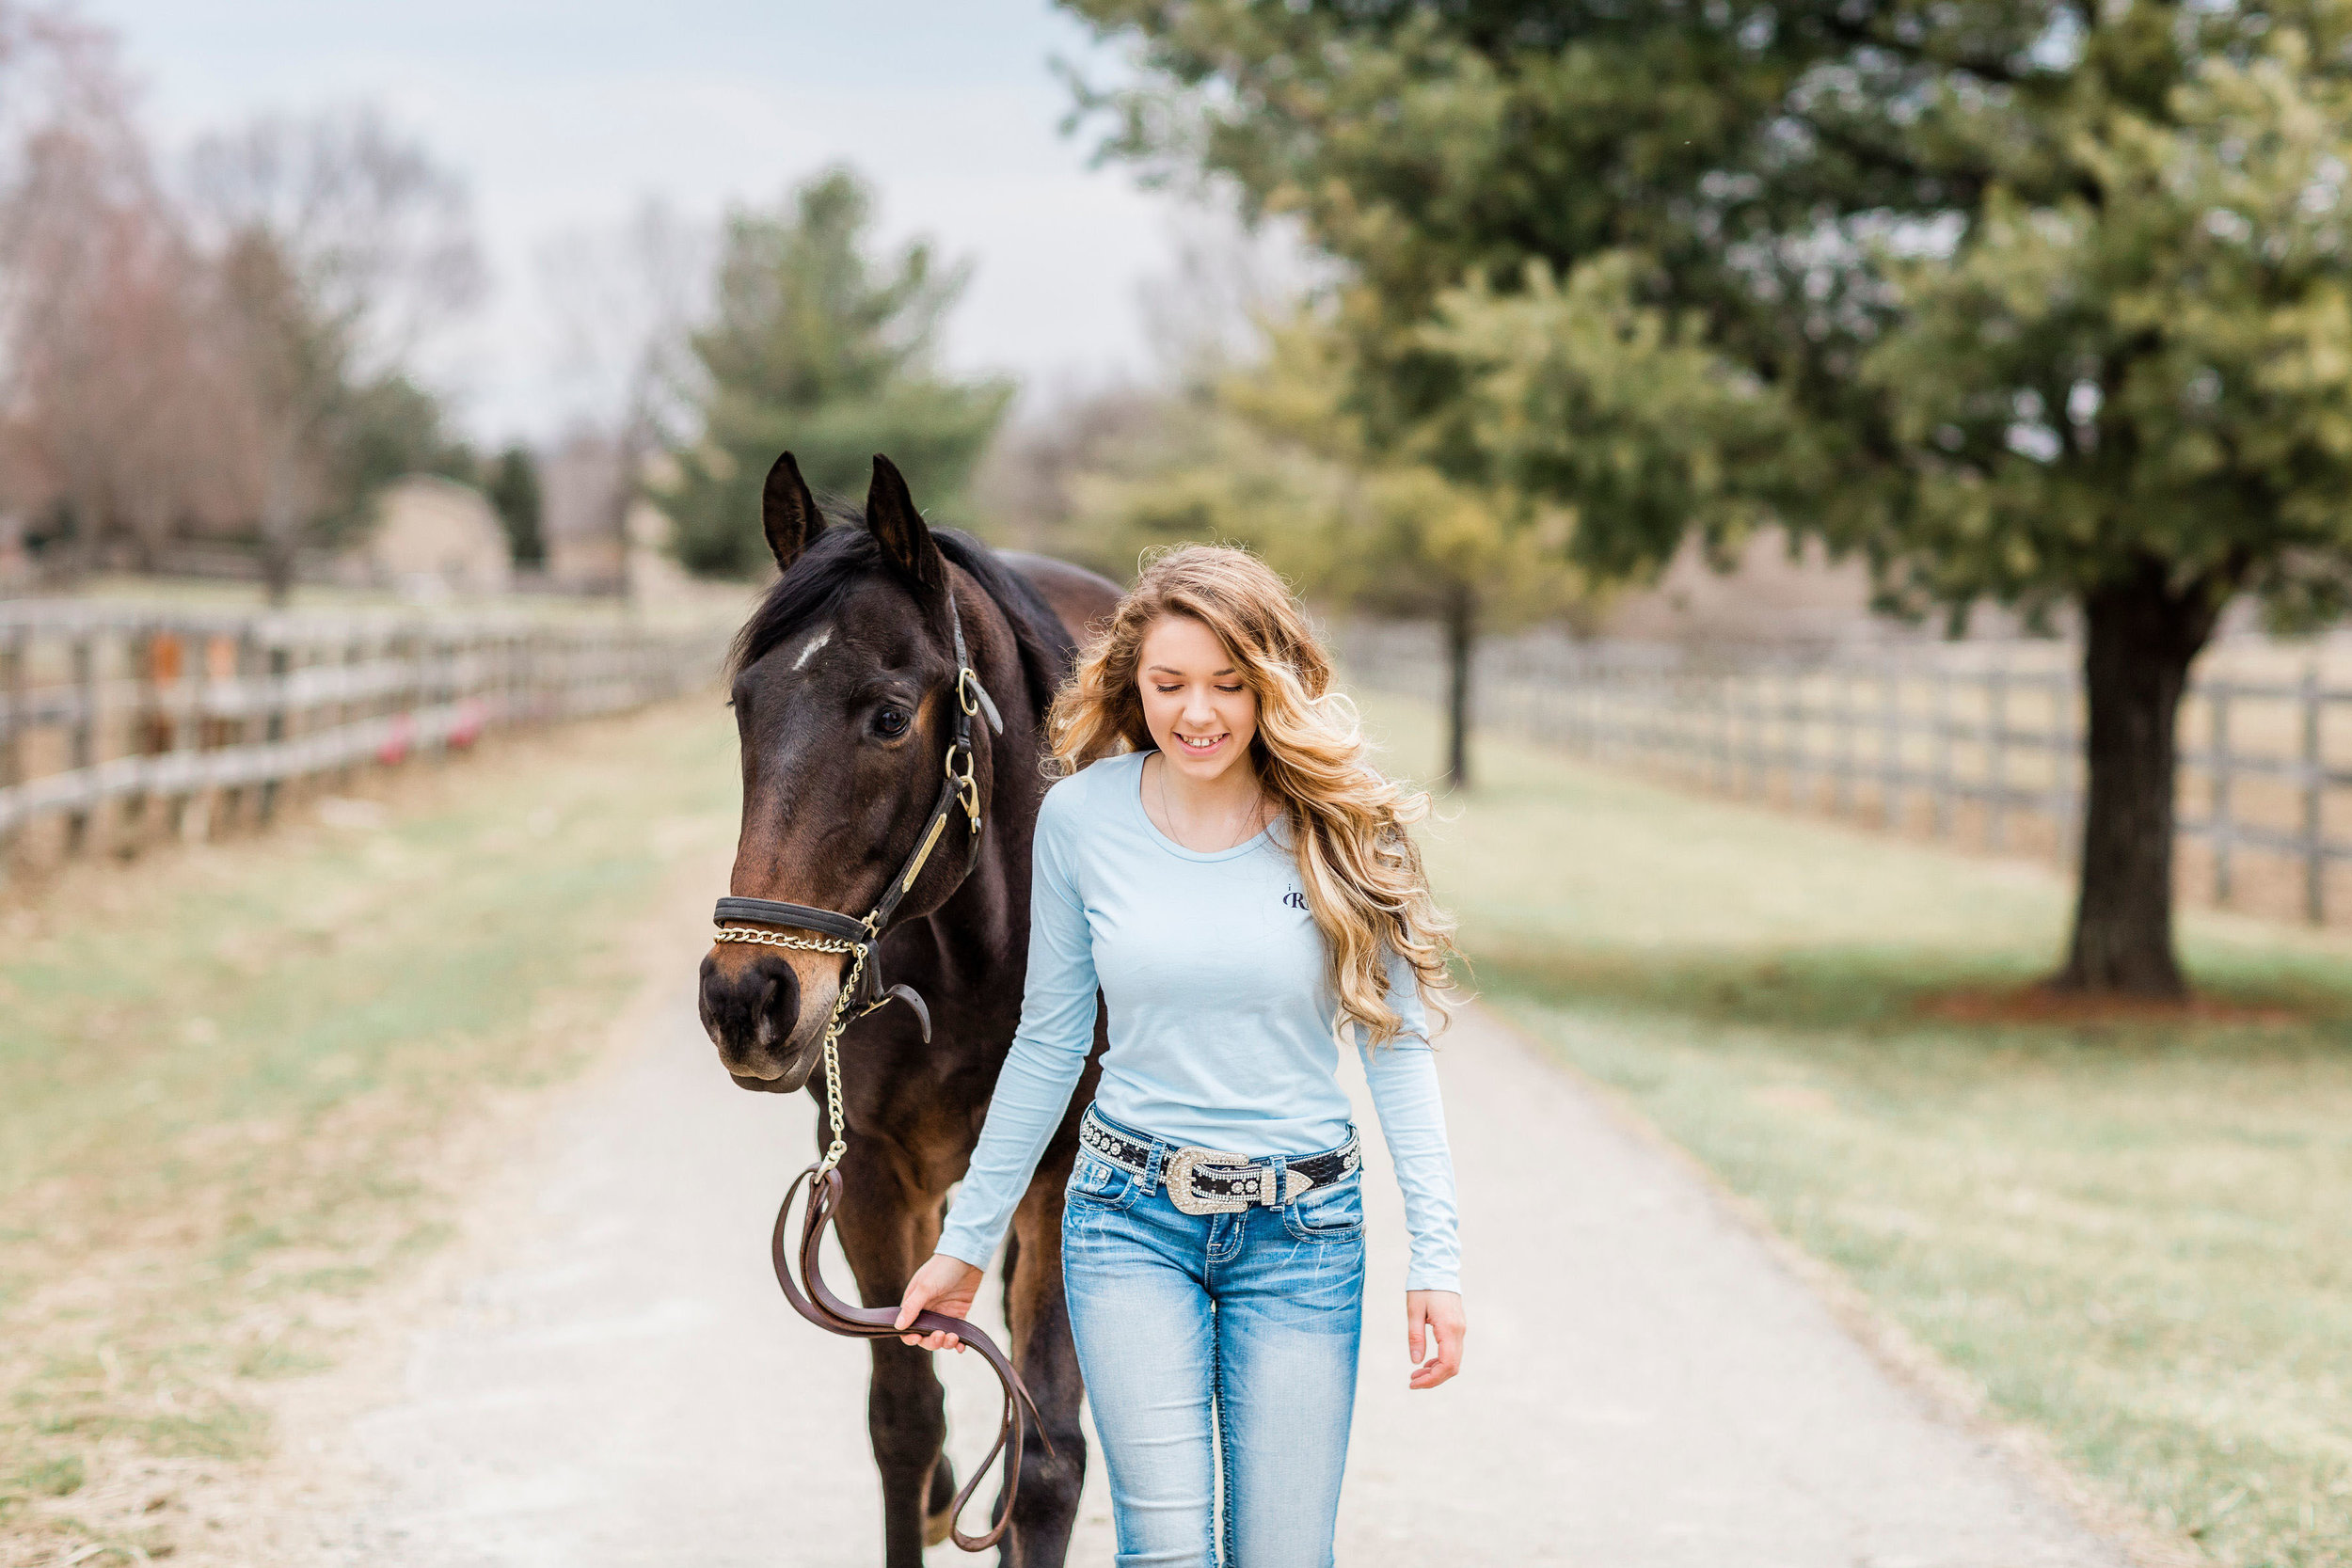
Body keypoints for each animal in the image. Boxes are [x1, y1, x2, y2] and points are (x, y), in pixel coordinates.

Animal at [699, 449, 1121, 1566]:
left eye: (889, 716)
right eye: (743, 706)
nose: (745, 997)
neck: (990, 955)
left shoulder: (1064, 1171)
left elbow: (1048, 1452)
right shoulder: (875, 1170)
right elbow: (903, 1415)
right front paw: (926, 1488)